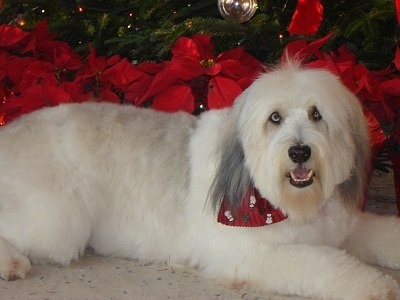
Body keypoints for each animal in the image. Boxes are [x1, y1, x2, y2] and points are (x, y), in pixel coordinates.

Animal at [0, 62, 400, 298]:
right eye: (275, 117)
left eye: (317, 114)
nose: (300, 151)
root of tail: (9, 132)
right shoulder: (251, 256)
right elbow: (326, 265)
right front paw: (377, 286)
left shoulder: (346, 228)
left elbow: (380, 235)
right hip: (56, 222)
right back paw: (11, 263)